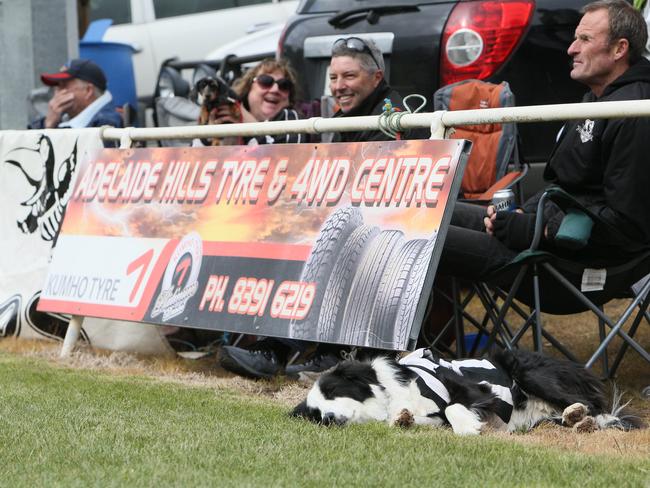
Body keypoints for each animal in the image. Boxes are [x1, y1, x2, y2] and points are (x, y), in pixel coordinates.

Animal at [294, 346, 644, 434]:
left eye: (332, 390)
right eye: (316, 414)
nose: (328, 419)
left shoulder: (473, 387)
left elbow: (453, 405)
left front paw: (467, 427)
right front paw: (403, 419)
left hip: (532, 374)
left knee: (595, 407)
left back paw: (581, 416)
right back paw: (574, 419)